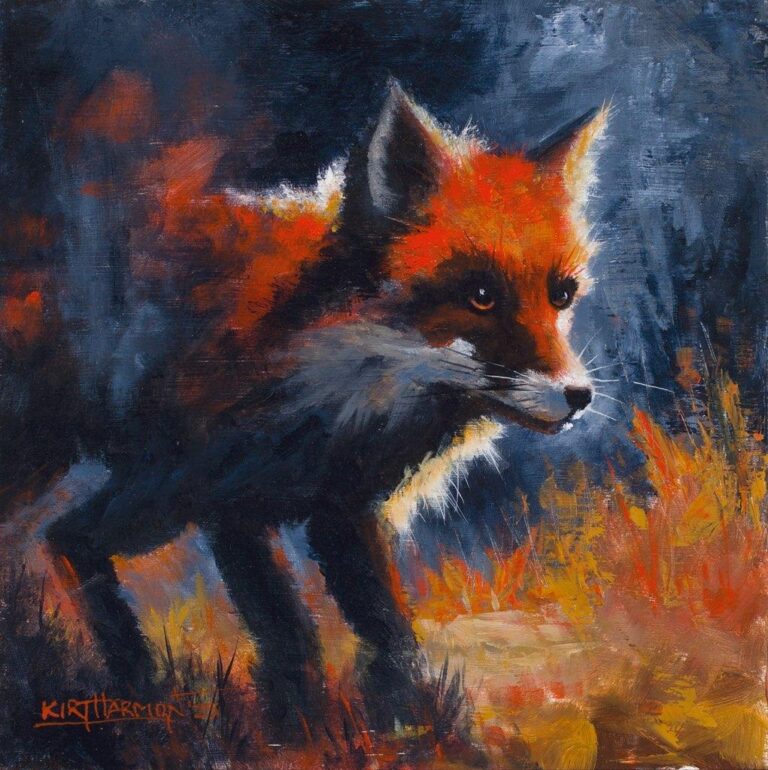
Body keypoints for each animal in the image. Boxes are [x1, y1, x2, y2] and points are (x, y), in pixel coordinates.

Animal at [36, 81, 607, 741]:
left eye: (561, 293)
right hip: (140, 498)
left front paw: (407, 723)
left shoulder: (338, 510)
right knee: (65, 535)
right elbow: (287, 633)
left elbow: (384, 630)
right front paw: (288, 725)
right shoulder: (210, 496)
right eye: (481, 295)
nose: (578, 395)